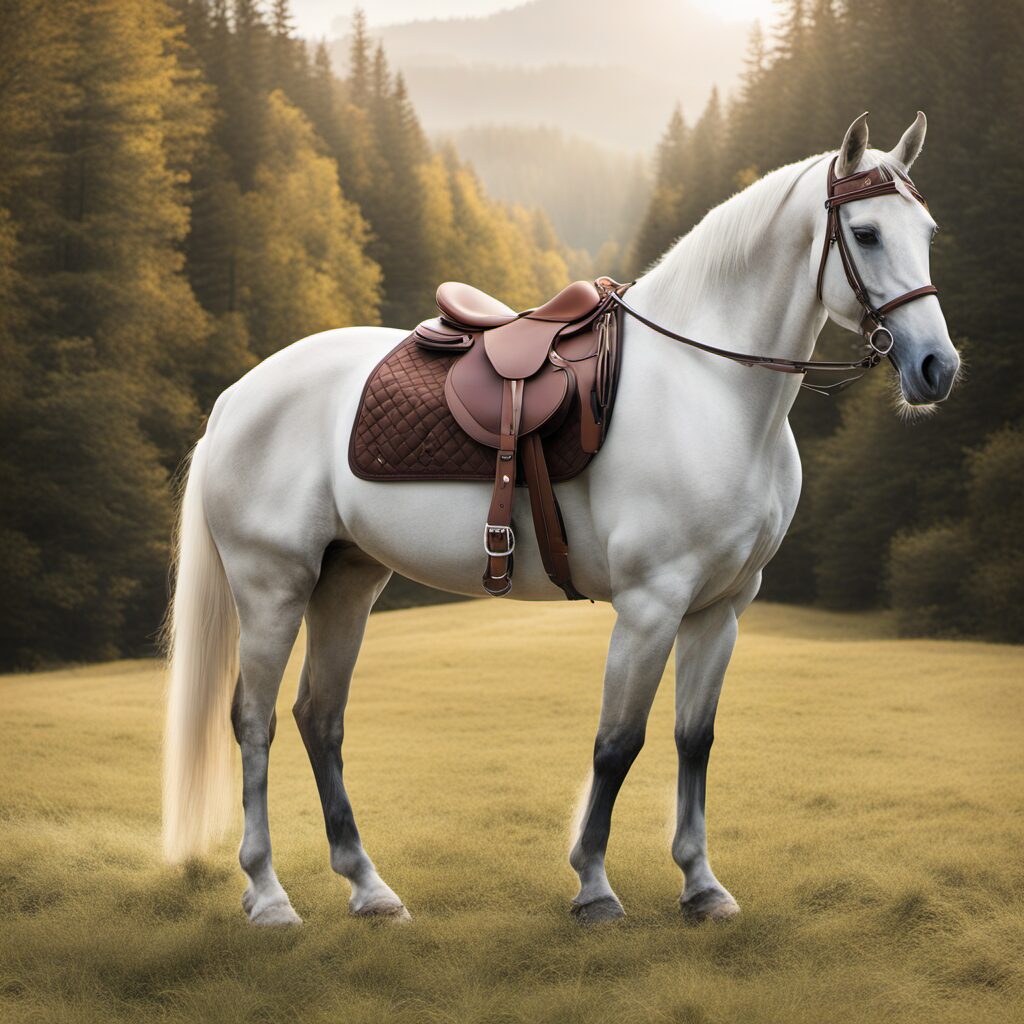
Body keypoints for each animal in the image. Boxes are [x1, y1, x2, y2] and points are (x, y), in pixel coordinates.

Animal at [163, 113, 959, 926]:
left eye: (926, 230)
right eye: (865, 233)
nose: (938, 367)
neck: (707, 388)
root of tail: (240, 395)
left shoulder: (722, 609)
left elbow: (693, 739)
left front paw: (701, 884)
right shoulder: (650, 606)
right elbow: (618, 742)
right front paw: (594, 887)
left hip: (348, 582)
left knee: (319, 718)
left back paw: (368, 886)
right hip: (272, 585)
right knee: (253, 722)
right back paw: (267, 895)